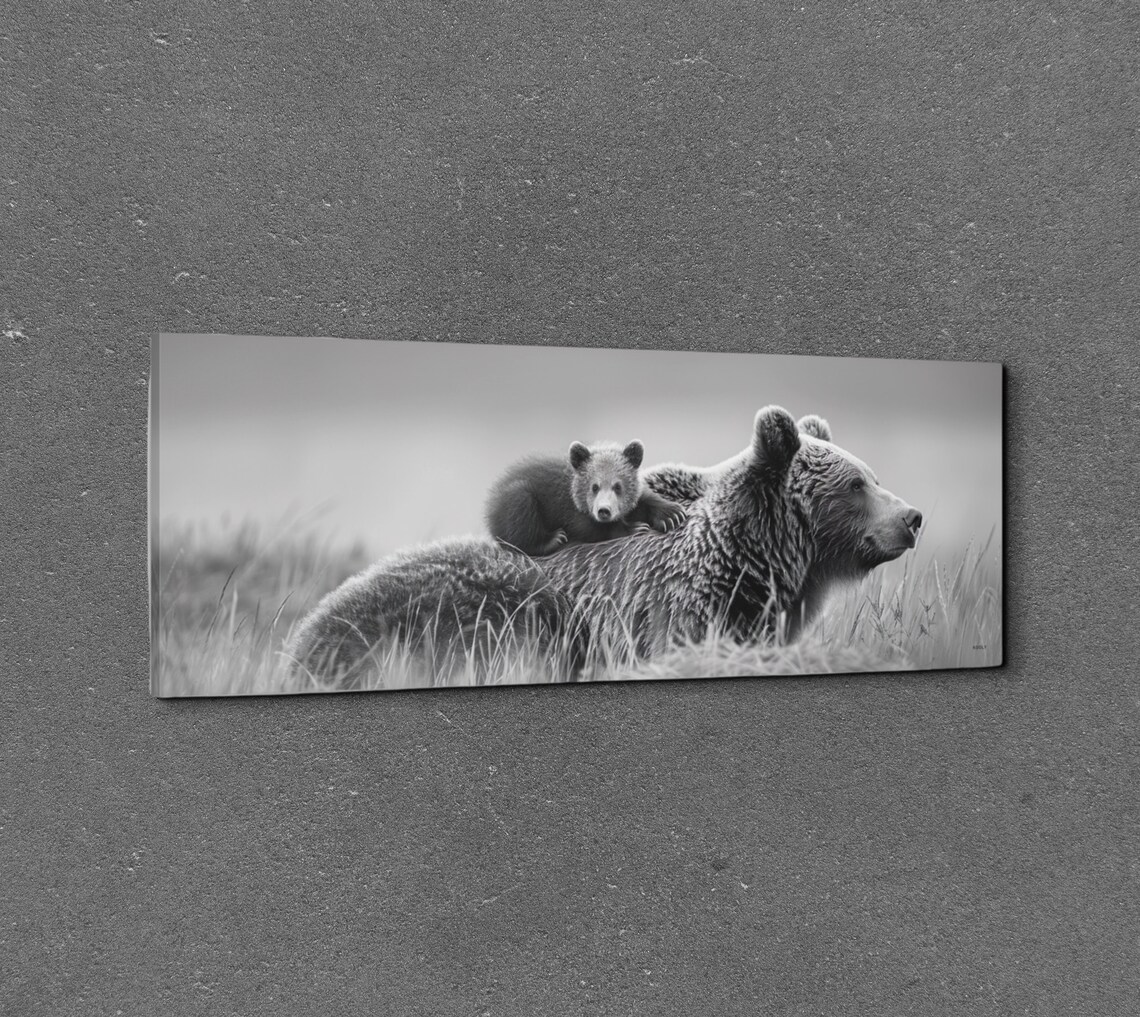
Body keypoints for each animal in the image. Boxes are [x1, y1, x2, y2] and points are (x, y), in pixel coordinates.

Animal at [485, 439, 687, 557]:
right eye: (594, 486)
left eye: (618, 486)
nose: (604, 511)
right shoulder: (570, 510)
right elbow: (589, 528)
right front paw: (634, 527)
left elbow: (644, 500)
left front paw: (670, 514)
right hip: (516, 498)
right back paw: (552, 539)